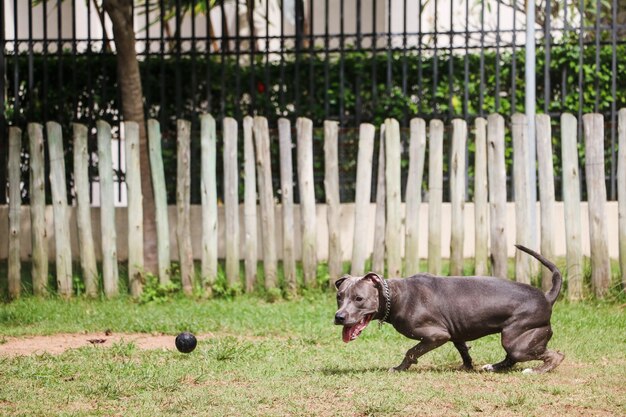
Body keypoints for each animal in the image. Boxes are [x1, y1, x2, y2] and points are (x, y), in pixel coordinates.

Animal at [334, 242, 564, 372]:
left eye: (359, 298)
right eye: (339, 296)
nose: (339, 317)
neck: (397, 295)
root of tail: (546, 296)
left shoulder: (437, 335)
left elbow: (411, 351)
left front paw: (399, 369)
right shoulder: (456, 332)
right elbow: (463, 350)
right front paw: (468, 366)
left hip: (516, 339)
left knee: (554, 356)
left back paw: (536, 371)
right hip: (515, 339)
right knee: (512, 358)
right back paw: (493, 367)